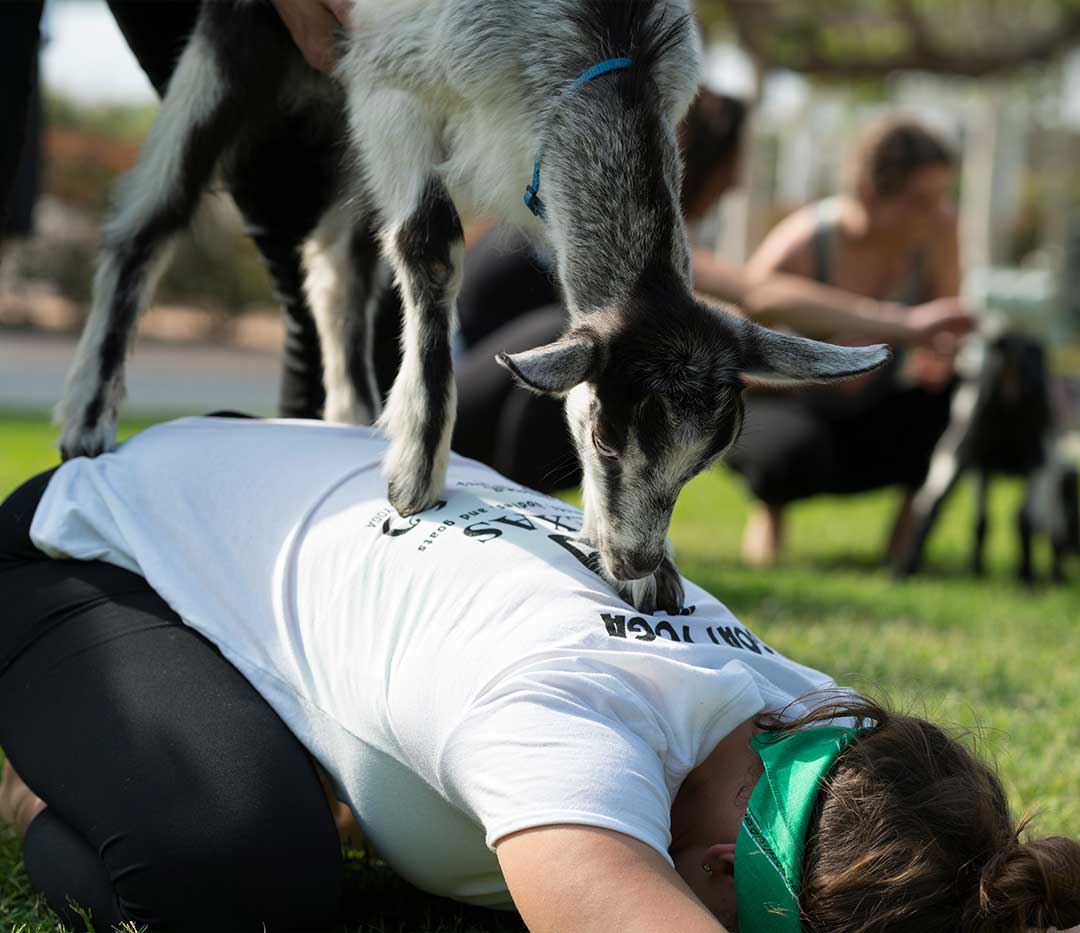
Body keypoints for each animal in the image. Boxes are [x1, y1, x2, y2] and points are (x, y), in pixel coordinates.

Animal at [55, 0, 889, 612]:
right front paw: (416, 473)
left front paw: (653, 574)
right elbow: (430, 242)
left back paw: (352, 414)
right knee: (151, 219)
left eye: (708, 456)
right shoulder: (396, 81)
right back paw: (88, 422)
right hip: (243, 45)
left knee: (335, 262)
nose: (633, 557)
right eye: (607, 435)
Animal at [893, 332, 1080, 583]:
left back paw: (903, 571)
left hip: (955, 448)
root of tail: (1012, 344)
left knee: (929, 505)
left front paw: (978, 570)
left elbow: (981, 521)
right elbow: (1046, 528)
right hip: (1035, 456)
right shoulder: (1046, 470)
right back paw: (1027, 579)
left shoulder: (981, 468)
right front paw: (1057, 576)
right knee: (1024, 516)